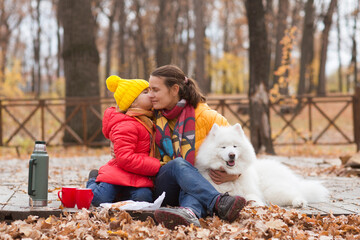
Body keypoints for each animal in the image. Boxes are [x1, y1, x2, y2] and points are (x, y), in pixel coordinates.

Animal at [195, 123, 330, 207]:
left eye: (234, 146)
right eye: (223, 147)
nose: (232, 155)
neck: (229, 176)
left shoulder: (250, 191)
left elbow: (253, 198)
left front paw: (257, 205)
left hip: (273, 191)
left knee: (296, 194)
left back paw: (299, 202)